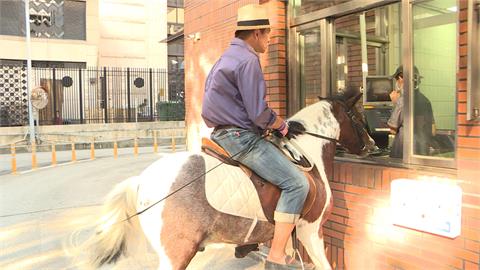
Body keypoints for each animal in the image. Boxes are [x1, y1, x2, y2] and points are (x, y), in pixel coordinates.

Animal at [84, 90, 374, 270]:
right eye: (358, 116)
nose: (372, 144)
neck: (307, 153)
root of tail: (141, 181)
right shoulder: (309, 231)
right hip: (177, 252)